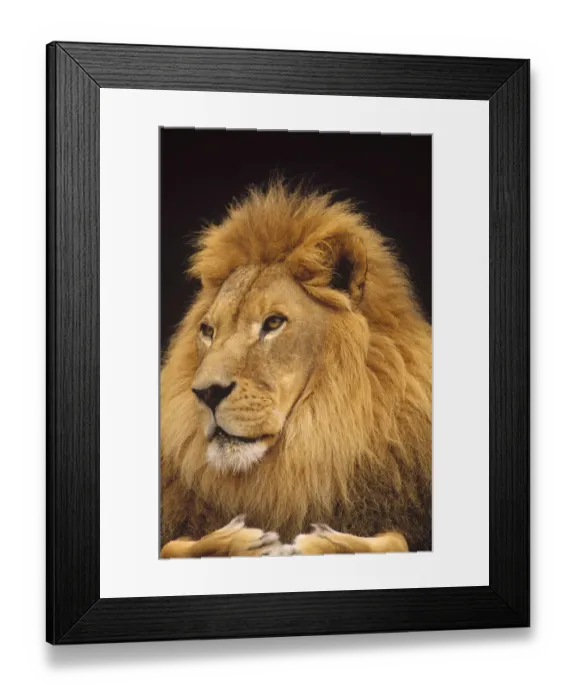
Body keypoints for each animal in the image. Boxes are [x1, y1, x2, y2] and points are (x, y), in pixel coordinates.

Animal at [159, 181, 432, 558]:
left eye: (273, 323)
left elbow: (397, 541)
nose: (206, 393)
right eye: (208, 331)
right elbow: (174, 546)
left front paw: (324, 542)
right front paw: (244, 541)